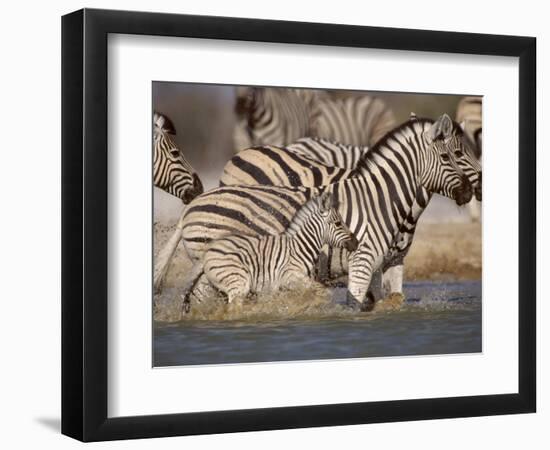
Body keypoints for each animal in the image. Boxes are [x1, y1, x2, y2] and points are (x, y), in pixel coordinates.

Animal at [205, 192, 360, 304]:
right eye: (338, 223)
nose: (357, 243)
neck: (300, 248)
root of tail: (209, 249)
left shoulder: (286, 287)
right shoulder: (290, 276)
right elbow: (324, 292)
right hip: (238, 282)